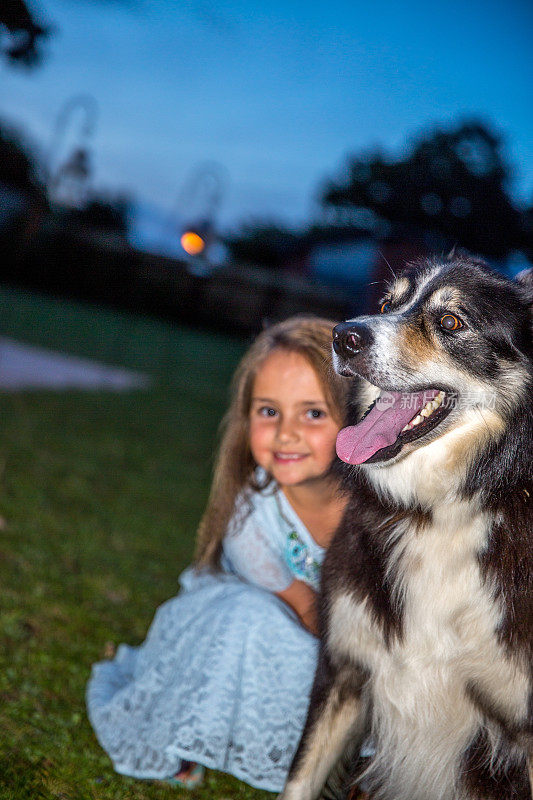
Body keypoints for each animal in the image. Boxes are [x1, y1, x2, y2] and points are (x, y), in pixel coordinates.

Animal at [280, 256, 528, 800]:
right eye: (386, 304)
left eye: (451, 322)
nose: (344, 336)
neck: (441, 513)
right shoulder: (345, 666)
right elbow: (300, 779)